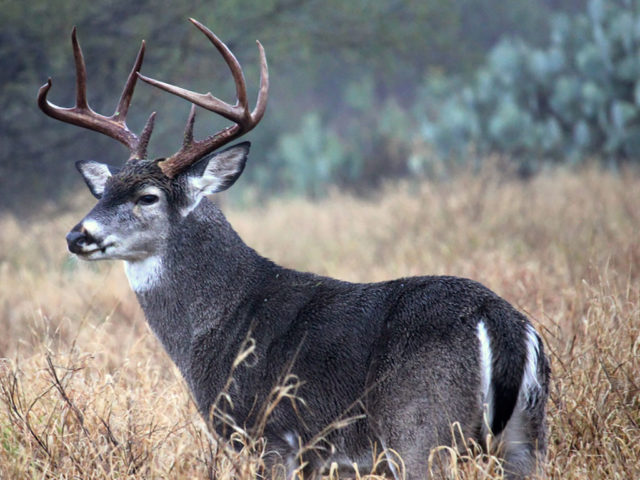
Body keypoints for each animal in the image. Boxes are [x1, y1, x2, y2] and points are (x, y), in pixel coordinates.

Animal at [38, 19, 552, 480]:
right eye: (103, 191)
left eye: (148, 197)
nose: (77, 236)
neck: (222, 322)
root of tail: (500, 322)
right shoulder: (323, 461)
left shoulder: (272, 439)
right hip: (526, 437)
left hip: (420, 430)